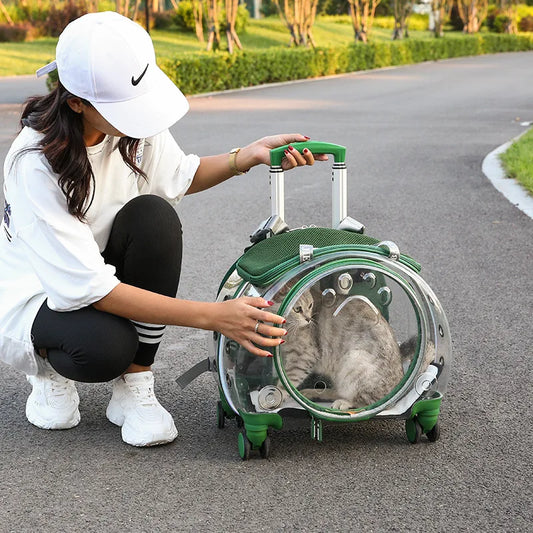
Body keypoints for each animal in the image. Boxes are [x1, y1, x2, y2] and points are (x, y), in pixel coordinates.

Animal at [280, 290, 410, 408]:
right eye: (298, 309)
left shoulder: (304, 356)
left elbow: (289, 378)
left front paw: (278, 394)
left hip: (354, 362)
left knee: (366, 402)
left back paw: (342, 402)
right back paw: (312, 393)